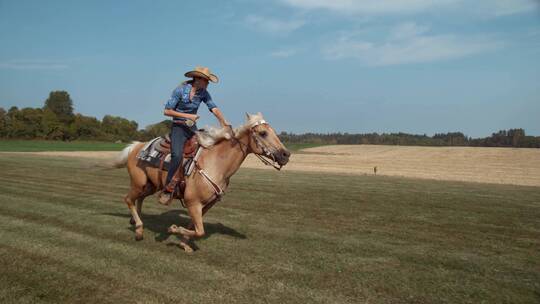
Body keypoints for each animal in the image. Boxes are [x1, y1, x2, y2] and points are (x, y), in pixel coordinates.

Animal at [115, 113, 288, 251]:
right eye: (263, 133)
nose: (286, 155)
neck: (216, 163)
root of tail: (137, 146)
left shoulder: (207, 205)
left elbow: (195, 227)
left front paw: (184, 244)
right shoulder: (193, 203)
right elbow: (200, 231)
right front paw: (173, 229)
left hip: (151, 185)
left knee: (139, 199)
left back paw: (136, 221)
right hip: (138, 184)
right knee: (128, 199)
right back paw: (139, 230)